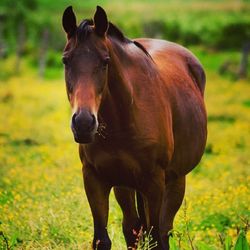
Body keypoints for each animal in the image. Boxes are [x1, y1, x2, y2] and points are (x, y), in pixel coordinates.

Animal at [61, 5, 206, 250]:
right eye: (65, 60)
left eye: (105, 61)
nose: (83, 123)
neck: (124, 119)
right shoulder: (94, 178)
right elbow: (103, 239)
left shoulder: (155, 183)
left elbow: (156, 236)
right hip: (125, 184)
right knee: (132, 228)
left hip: (175, 181)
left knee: (162, 230)